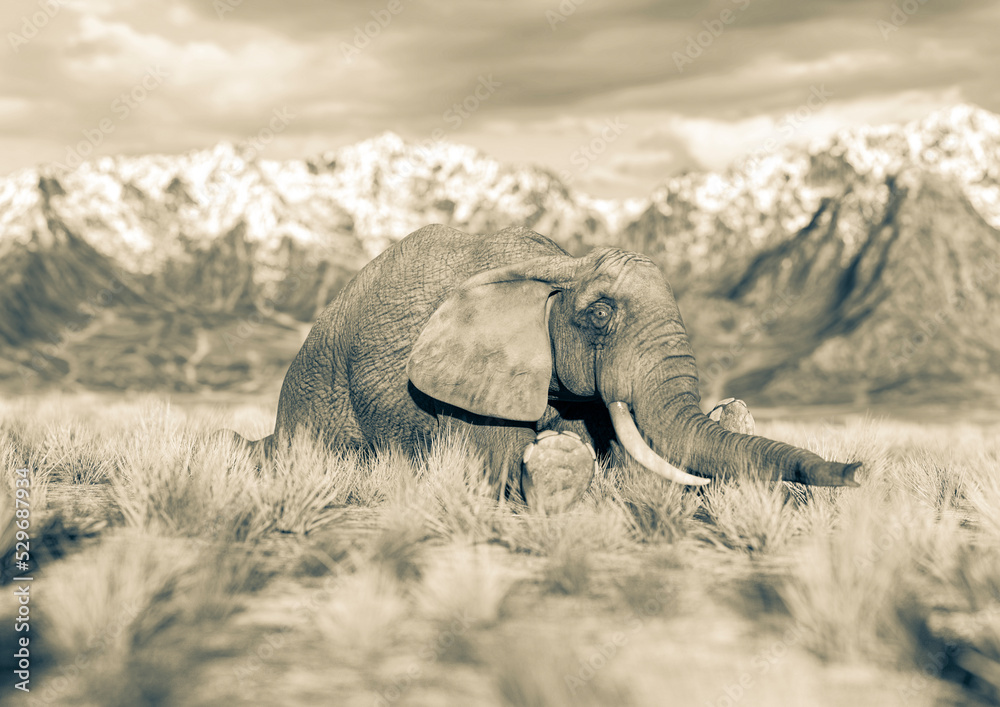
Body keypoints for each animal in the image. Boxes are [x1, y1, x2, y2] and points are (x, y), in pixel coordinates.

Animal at [231, 224, 859, 512]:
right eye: (600, 314)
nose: (857, 472)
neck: (560, 264)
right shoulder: (469, 381)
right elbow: (494, 465)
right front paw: (557, 464)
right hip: (320, 391)